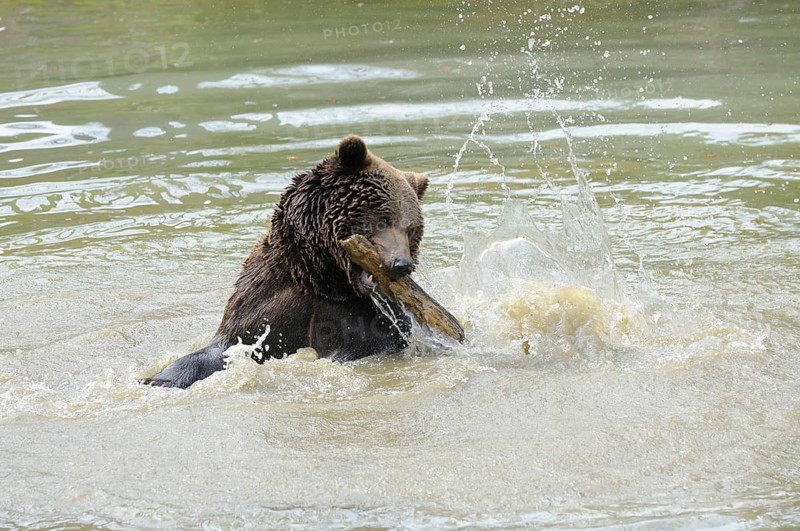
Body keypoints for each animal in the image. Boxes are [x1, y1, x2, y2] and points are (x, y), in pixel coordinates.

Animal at [141, 135, 430, 388]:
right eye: (383, 220)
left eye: (410, 229)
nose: (401, 264)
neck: (324, 280)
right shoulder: (265, 300)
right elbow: (230, 345)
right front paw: (158, 378)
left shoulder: (369, 318)